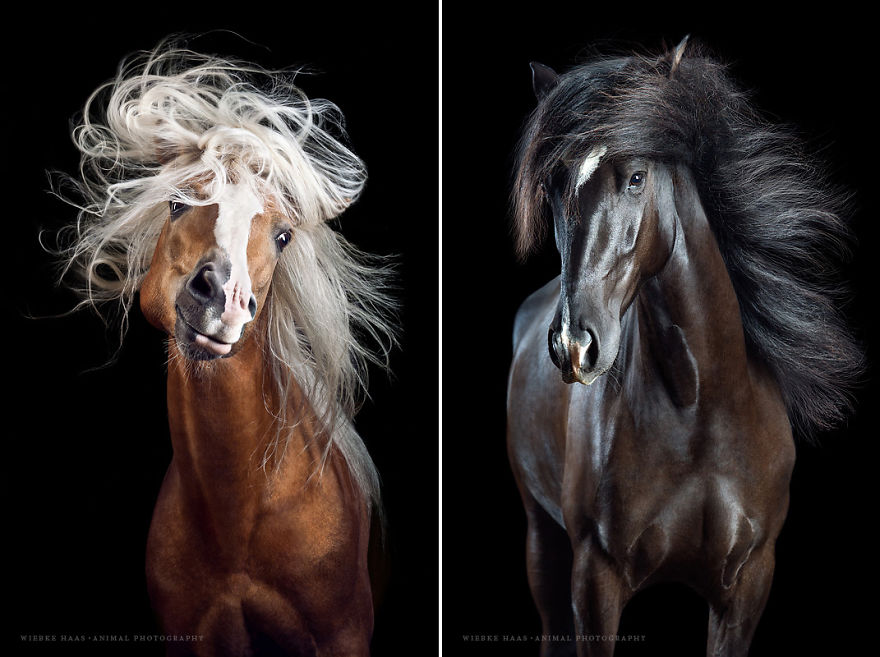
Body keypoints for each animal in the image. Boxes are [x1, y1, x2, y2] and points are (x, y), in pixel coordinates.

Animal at [506, 38, 862, 657]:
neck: (700, 405)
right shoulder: (594, 580)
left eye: (635, 177)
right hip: (542, 542)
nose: (575, 344)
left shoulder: (747, 585)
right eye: (553, 184)